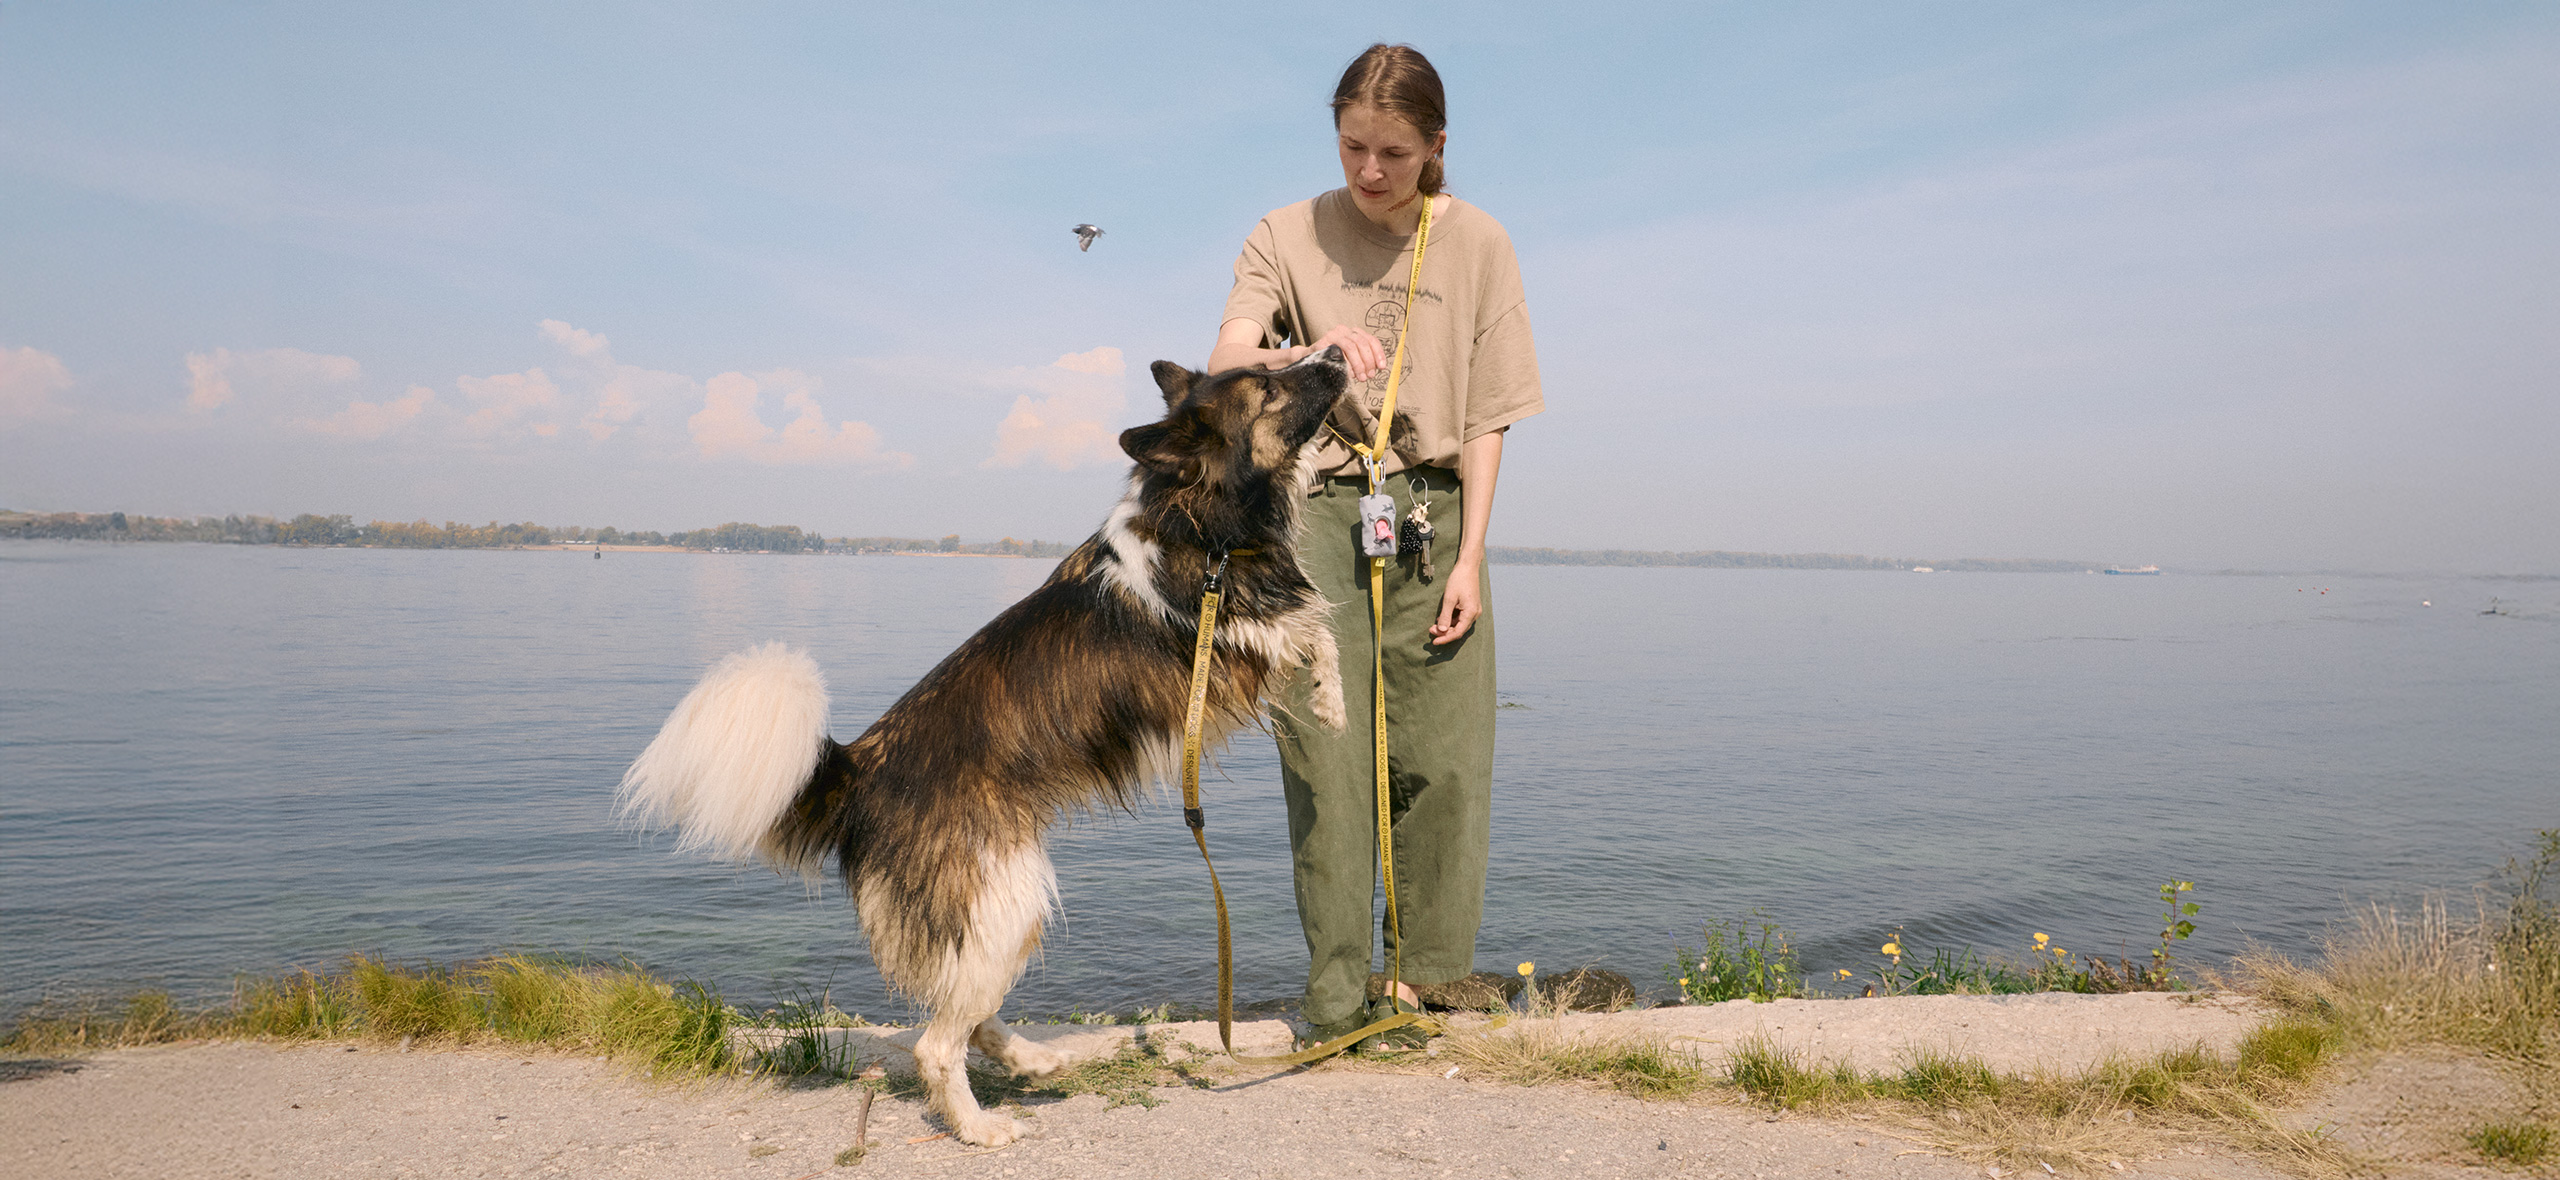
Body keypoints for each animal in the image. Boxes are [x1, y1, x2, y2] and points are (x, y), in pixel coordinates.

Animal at [619, 345, 1361, 1146]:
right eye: (1268, 385)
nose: (1337, 353)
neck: (1196, 511)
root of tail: (860, 771)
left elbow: (1319, 635)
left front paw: (1331, 700)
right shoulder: (1231, 644)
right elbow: (1310, 629)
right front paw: (1332, 701)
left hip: (991, 909)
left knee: (966, 1010)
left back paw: (1033, 1059)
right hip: (1006, 895)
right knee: (937, 1041)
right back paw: (978, 1127)